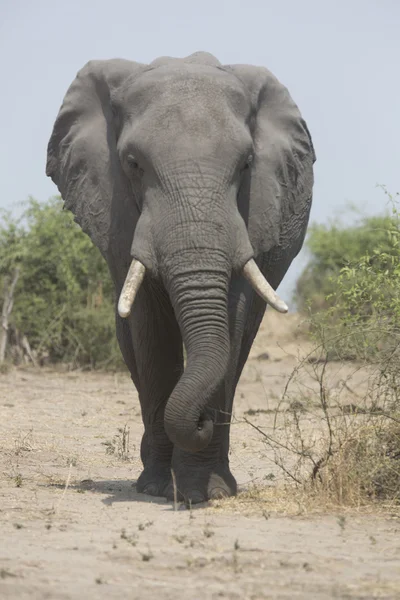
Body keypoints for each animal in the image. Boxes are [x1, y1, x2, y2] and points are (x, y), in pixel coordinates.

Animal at [47, 49, 316, 504]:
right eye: (133, 164)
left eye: (247, 164)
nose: (201, 422)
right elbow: (152, 330)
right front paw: (158, 488)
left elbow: (232, 319)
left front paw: (206, 491)